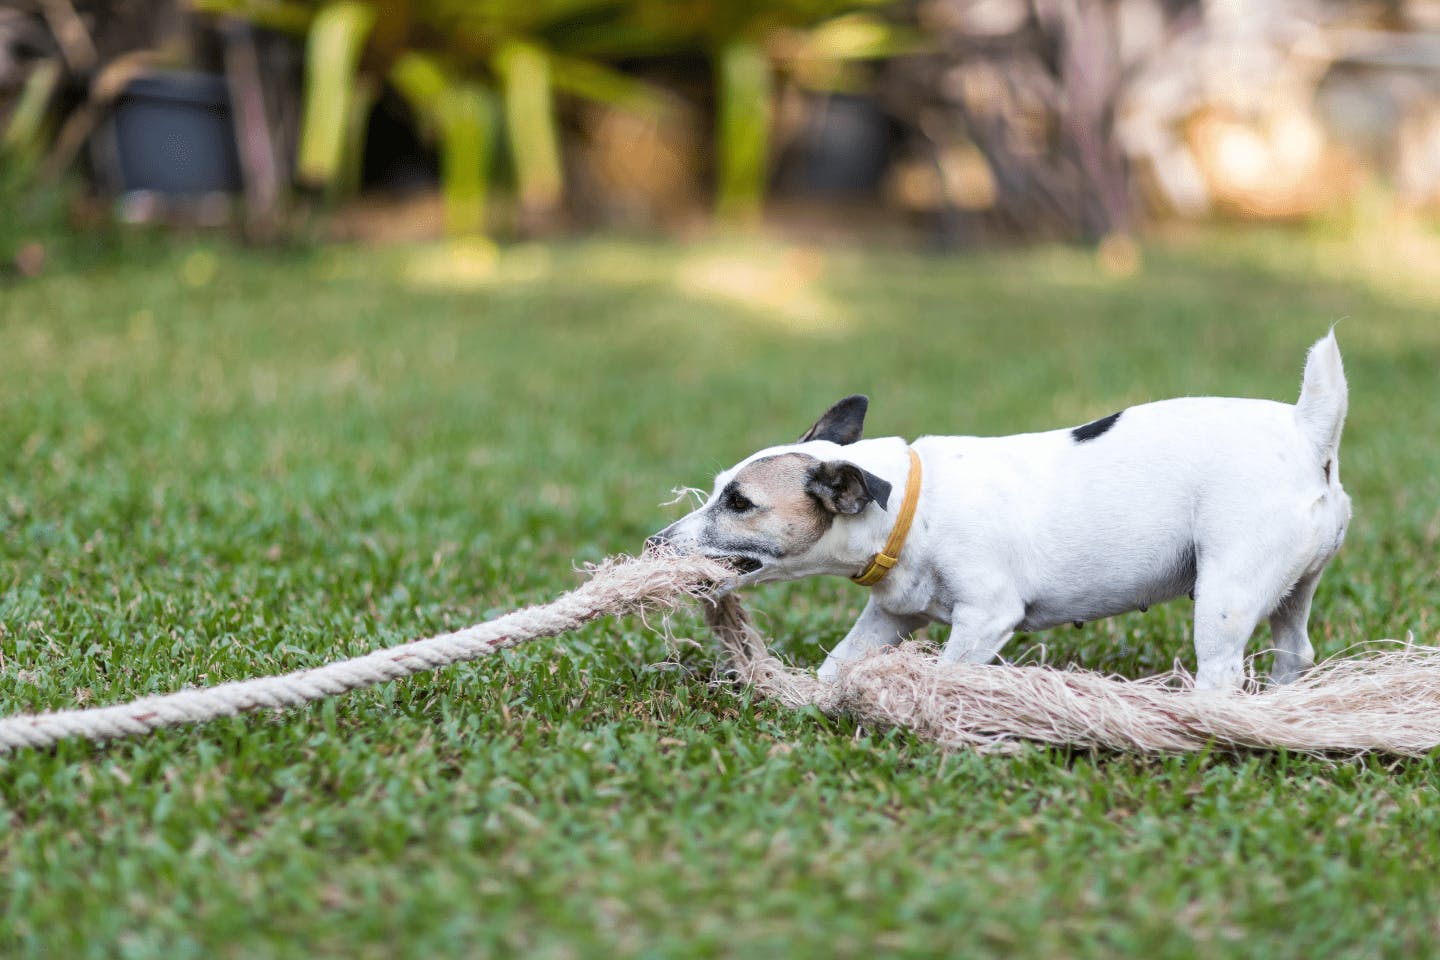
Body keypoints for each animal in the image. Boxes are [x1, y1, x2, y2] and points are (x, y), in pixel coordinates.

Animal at [650, 333, 1347, 687]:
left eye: (739, 502)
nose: (656, 543)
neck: (911, 502)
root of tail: (1305, 432)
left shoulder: (986, 619)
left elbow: (945, 674)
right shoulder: (890, 617)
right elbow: (837, 664)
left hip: (1224, 597)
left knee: (1222, 672)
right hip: (1290, 593)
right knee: (1294, 653)